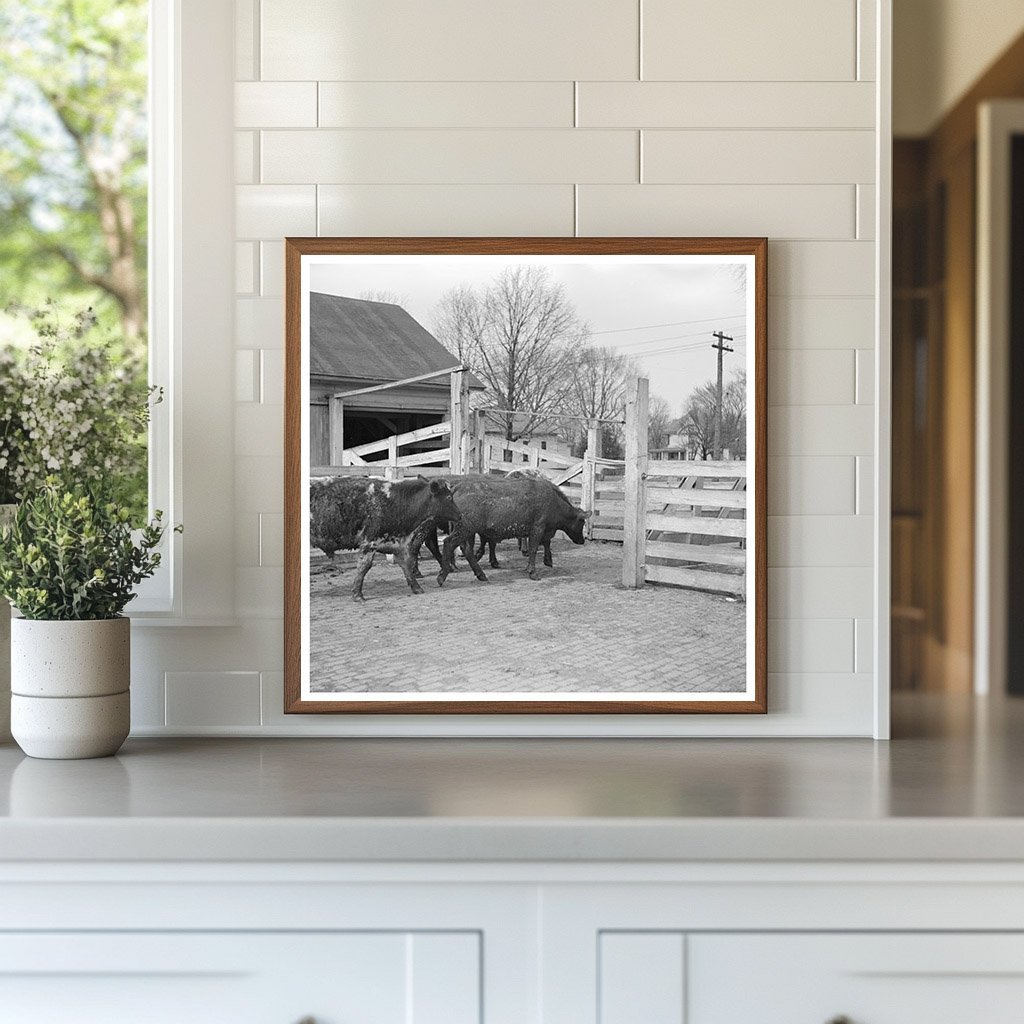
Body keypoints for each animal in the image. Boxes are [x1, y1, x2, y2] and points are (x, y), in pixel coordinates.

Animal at [307, 477, 460, 602]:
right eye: (448, 497)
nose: (460, 514)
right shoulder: (369, 542)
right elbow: (364, 567)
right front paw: (357, 594)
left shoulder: (396, 542)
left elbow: (406, 565)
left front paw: (416, 587)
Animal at [434, 473, 593, 585]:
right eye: (582, 522)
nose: (582, 540)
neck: (554, 501)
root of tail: (457, 487)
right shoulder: (538, 528)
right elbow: (534, 549)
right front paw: (532, 572)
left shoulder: (544, 530)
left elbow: (546, 543)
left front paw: (547, 560)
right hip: (465, 529)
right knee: (449, 543)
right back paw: (442, 575)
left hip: (468, 531)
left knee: (467, 550)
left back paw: (481, 575)